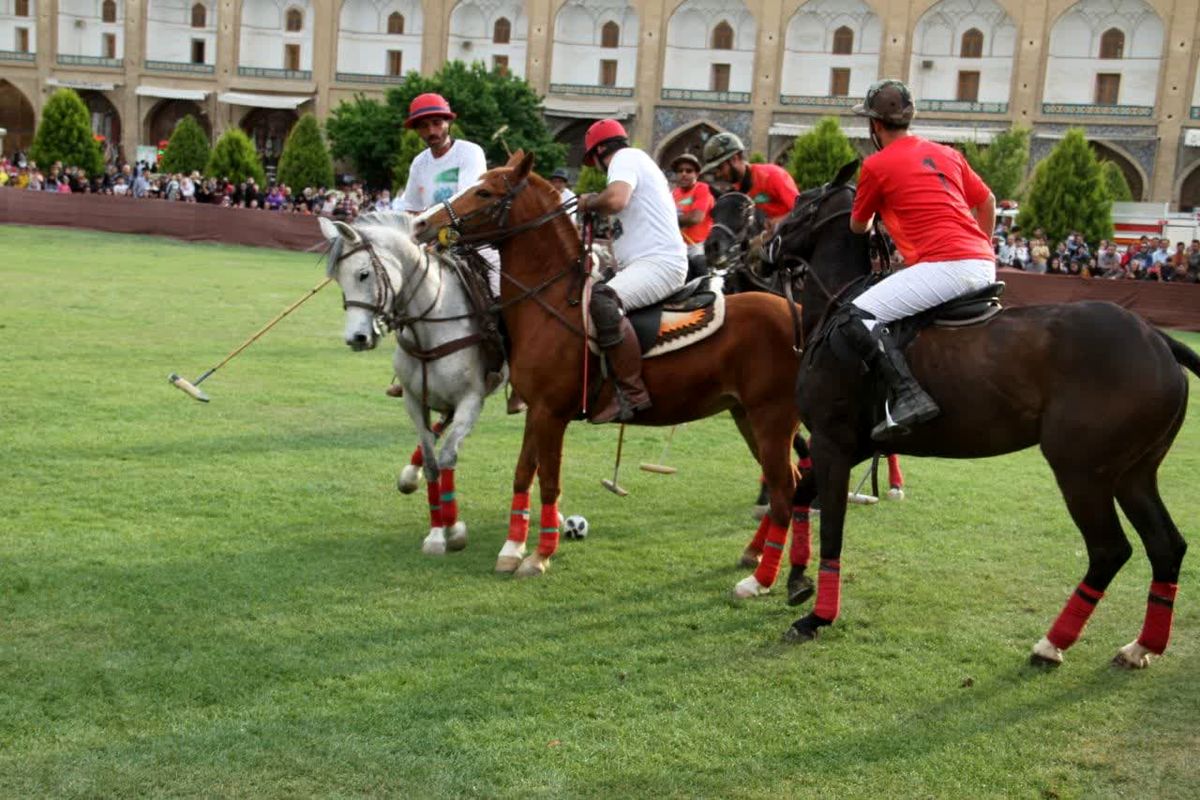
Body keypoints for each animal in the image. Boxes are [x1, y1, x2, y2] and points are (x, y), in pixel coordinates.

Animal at [316, 214, 508, 563]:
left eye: (363, 274)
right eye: (338, 279)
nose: (356, 338)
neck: (430, 326)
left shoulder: (471, 400)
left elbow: (447, 457)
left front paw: (454, 529)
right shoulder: (414, 401)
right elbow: (432, 461)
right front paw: (436, 534)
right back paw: (410, 473)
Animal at [415, 153, 816, 597]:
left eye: (484, 192)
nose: (421, 223)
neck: (552, 301)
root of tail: (803, 315)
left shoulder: (552, 413)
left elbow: (549, 481)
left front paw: (539, 556)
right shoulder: (537, 410)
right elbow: (523, 474)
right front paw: (511, 549)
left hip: (772, 418)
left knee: (785, 489)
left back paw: (759, 580)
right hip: (746, 415)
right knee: (787, 483)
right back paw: (755, 554)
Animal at [763, 163, 1195, 671]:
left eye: (800, 202)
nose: (762, 248)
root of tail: (1159, 340)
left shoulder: (833, 441)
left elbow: (831, 527)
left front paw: (817, 617)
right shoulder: (852, 445)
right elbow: (799, 496)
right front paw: (791, 580)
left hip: (1082, 469)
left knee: (1109, 549)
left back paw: (1052, 644)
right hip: (1133, 472)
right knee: (1166, 544)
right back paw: (1141, 646)